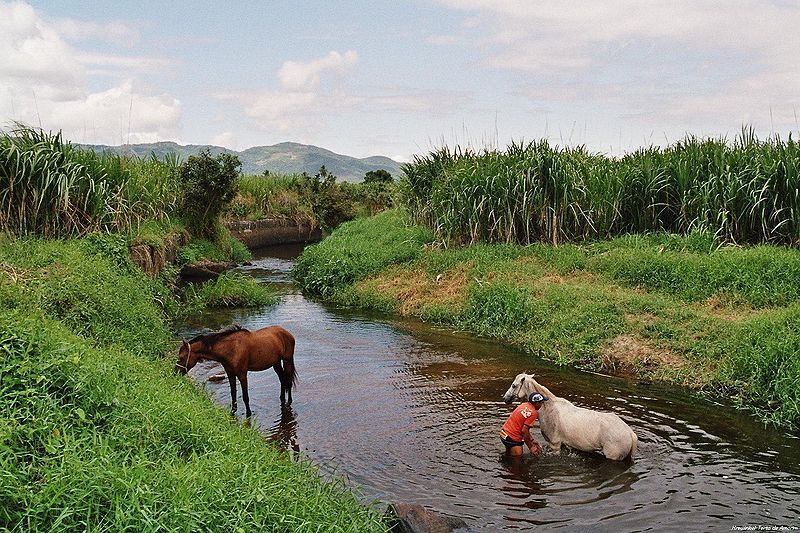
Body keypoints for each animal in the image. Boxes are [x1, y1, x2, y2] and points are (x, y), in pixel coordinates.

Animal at [504, 370, 640, 462]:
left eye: (514, 385)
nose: (506, 398)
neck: (548, 408)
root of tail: (630, 434)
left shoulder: (554, 444)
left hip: (613, 456)